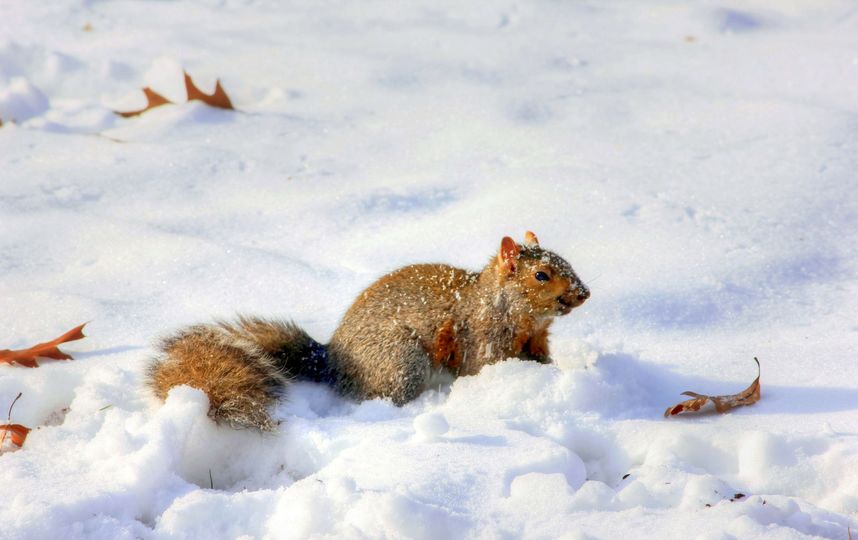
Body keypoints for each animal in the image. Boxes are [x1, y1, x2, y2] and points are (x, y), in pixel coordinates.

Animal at [147, 232, 589, 430]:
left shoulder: (536, 342)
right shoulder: (481, 340)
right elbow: (486, 366)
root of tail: (332, 360)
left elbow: (542, 359)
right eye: (541, 275)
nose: (584, 293)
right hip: (401, 360)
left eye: (566, 261)